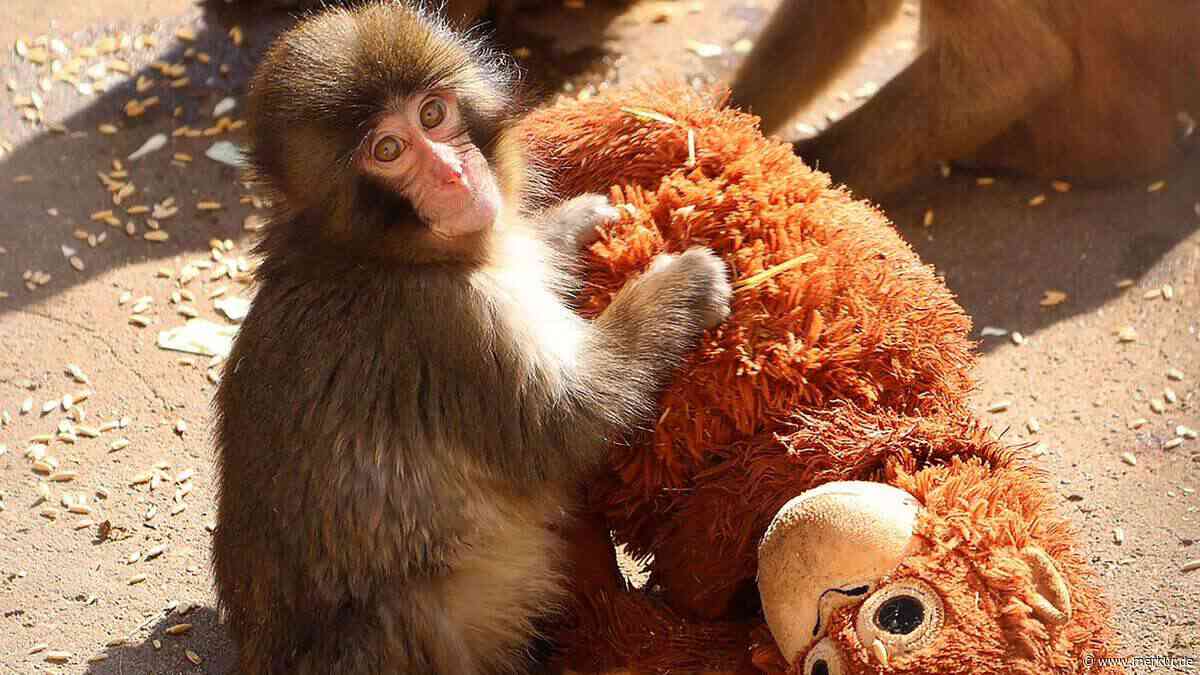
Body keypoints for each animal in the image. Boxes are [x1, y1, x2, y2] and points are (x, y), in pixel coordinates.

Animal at [209, 3, 732, 674]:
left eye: (433, 114)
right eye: (388, 149)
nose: (454, 174)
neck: (377, 253)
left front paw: (569, 224)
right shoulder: (448, 323)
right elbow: (566, 424)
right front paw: (680, 287)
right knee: (403, 612)